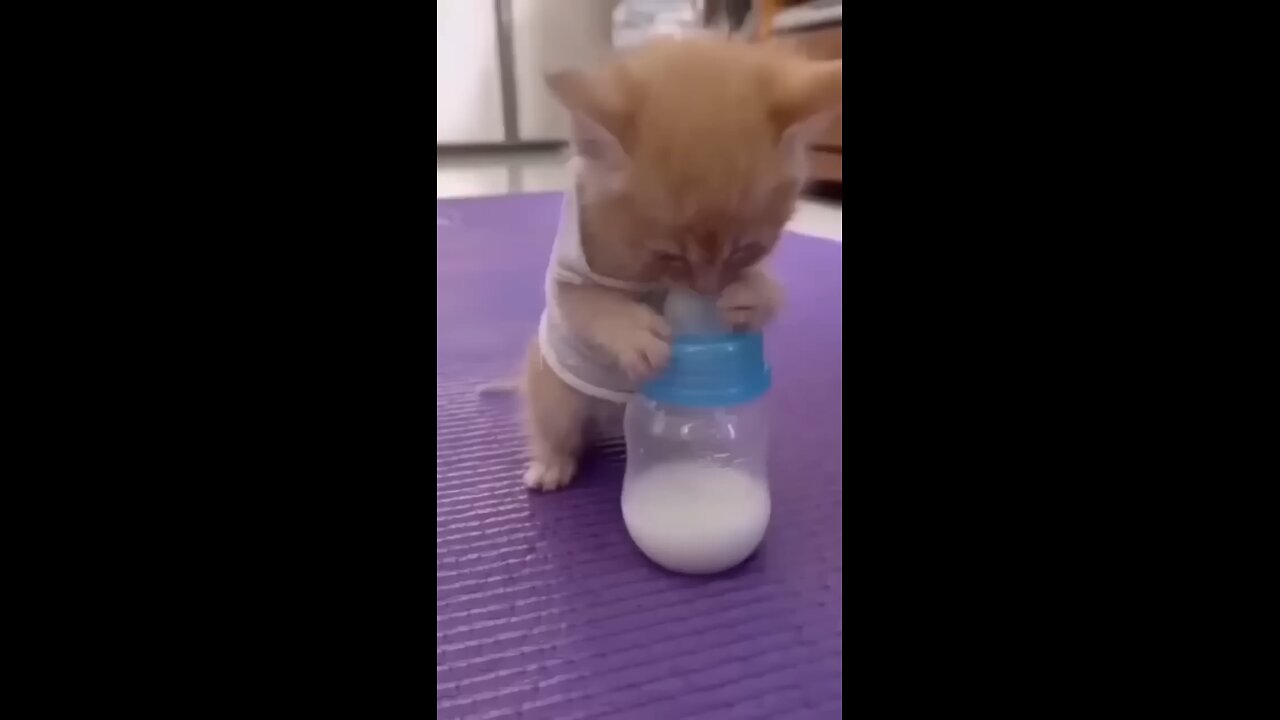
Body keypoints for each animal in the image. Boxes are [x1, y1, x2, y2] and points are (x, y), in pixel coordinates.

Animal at [519, 37, 839, 486]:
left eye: (747, 249)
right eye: (667, 256)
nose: (706, 289)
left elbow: (770, 288)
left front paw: (752, 297)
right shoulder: (566, 275)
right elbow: (590, 303)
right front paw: (632, 331)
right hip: (554, 389)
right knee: (554, 422)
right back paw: (551, 462)